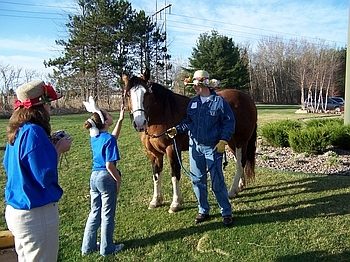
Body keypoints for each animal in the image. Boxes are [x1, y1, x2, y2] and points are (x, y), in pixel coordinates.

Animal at [122, 69, 258, 213]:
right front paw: (156, 200)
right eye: (128, 94)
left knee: (240, 163)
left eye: (146, 93)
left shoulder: (172, 150)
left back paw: (232, 191)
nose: (139, 123)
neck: (162, 113)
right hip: (230, 142)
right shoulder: (153, 153)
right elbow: (156, 175)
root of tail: (247, 98)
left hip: (241, 141)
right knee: (240, 162)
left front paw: (176, 203)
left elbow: (175, 175)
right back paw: (240, 186)